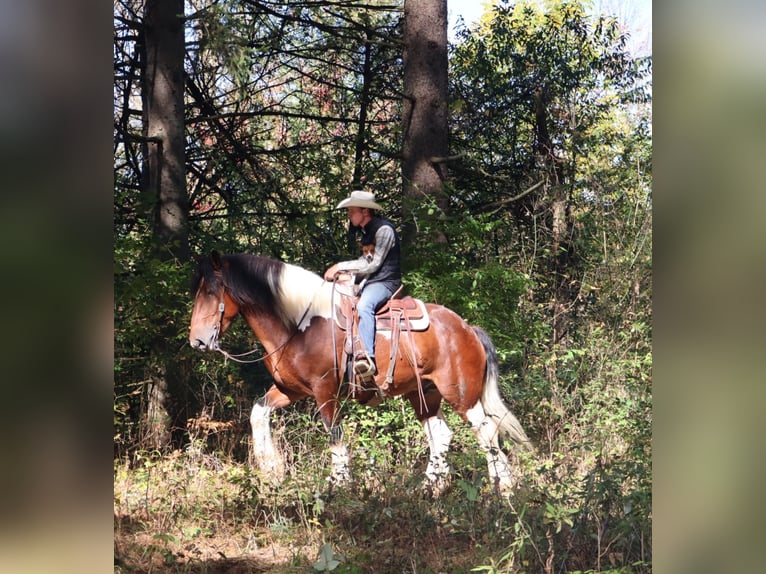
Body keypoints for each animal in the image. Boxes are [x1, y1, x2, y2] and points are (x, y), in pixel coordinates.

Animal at [189, 251, 531, 495]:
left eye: (211, 291)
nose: (197, 340)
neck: (299, 326)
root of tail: (467, 329)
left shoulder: (325, 392)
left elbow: (334, 435)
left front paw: (338, 486)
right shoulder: (290, 390)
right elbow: (258, 413)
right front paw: (271, 468)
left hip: (460, 394)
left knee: (486, 431)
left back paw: (503, 488)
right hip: (424, 394)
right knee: (441, 435)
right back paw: (430, 488)